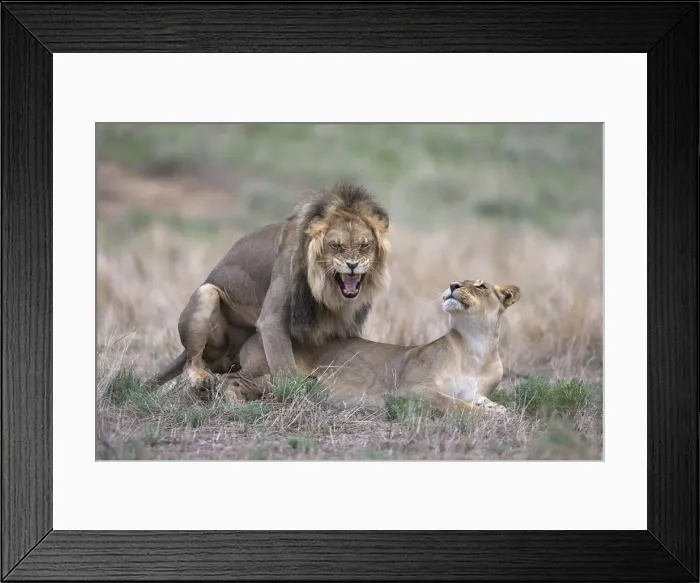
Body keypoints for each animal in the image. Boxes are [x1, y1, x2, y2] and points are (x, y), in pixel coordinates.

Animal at [149, 182, 391, 393]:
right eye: (336, 246)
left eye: (365, 245)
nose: (352, 265)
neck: (328, 292)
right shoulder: (272, 317)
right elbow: (285, 365)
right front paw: (298, 390)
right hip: (206, 293)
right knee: (191, 361)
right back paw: (200, 379)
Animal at [223, 277, 520, 415]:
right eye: (459, 280)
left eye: (481, 286)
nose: (453, 284)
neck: (475, 346)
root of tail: (252, 335)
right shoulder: (412, 390)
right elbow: (454, 404)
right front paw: (488, 416)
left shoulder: (476, 390)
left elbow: (478, 400)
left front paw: (497, 410)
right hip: (284, 377)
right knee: (229, 379)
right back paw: (235, 404)